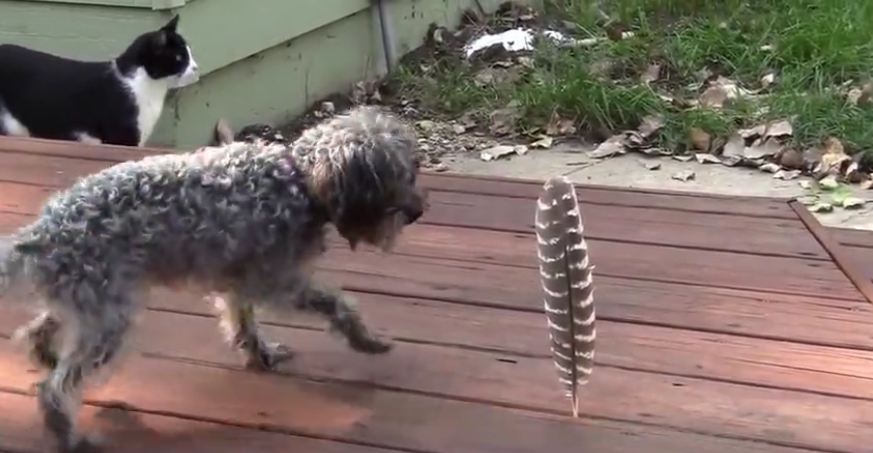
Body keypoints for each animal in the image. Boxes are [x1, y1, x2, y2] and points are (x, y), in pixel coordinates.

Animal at [0, 105, 426, 448]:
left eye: (413, 171)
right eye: (399, 174)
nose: (418, 211)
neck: (297, 178)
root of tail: (42, 232)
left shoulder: (239, 282)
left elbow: (244, 324)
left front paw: (260, 355)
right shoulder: (279, 282)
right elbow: (338, 304)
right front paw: (367, 340)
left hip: (90, 302)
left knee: (39, 332)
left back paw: (47, 356)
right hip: (109, 319)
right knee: (54, 389)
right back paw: (68, 434)